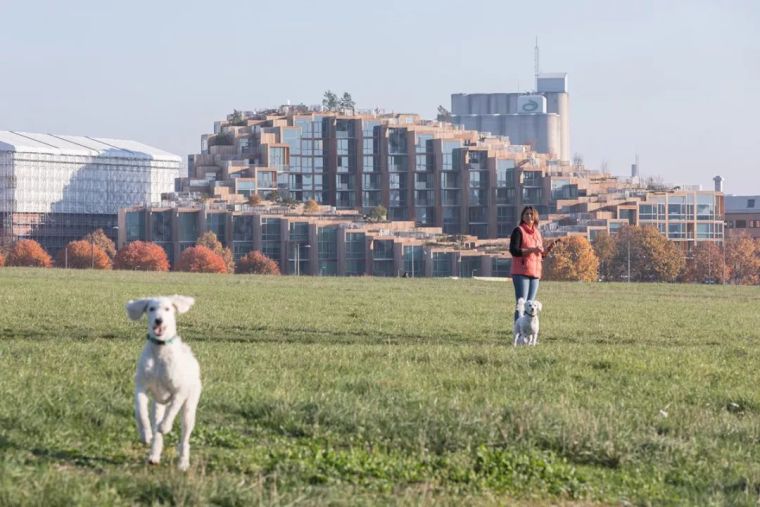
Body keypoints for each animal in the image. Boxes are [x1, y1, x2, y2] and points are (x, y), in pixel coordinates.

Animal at [127, 296, 202, 470]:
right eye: (151, 309)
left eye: (168, 309)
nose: (158, 320)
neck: (160, 352)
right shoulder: (140, 387)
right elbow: (140, 411)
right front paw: (145, 434)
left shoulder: (180, 391)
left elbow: (173, 409)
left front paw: (165, 426)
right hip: (157, 405)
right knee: (157, 433)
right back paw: (154, 455)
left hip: (189, 408)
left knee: (184, 439)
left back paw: (183, 462)